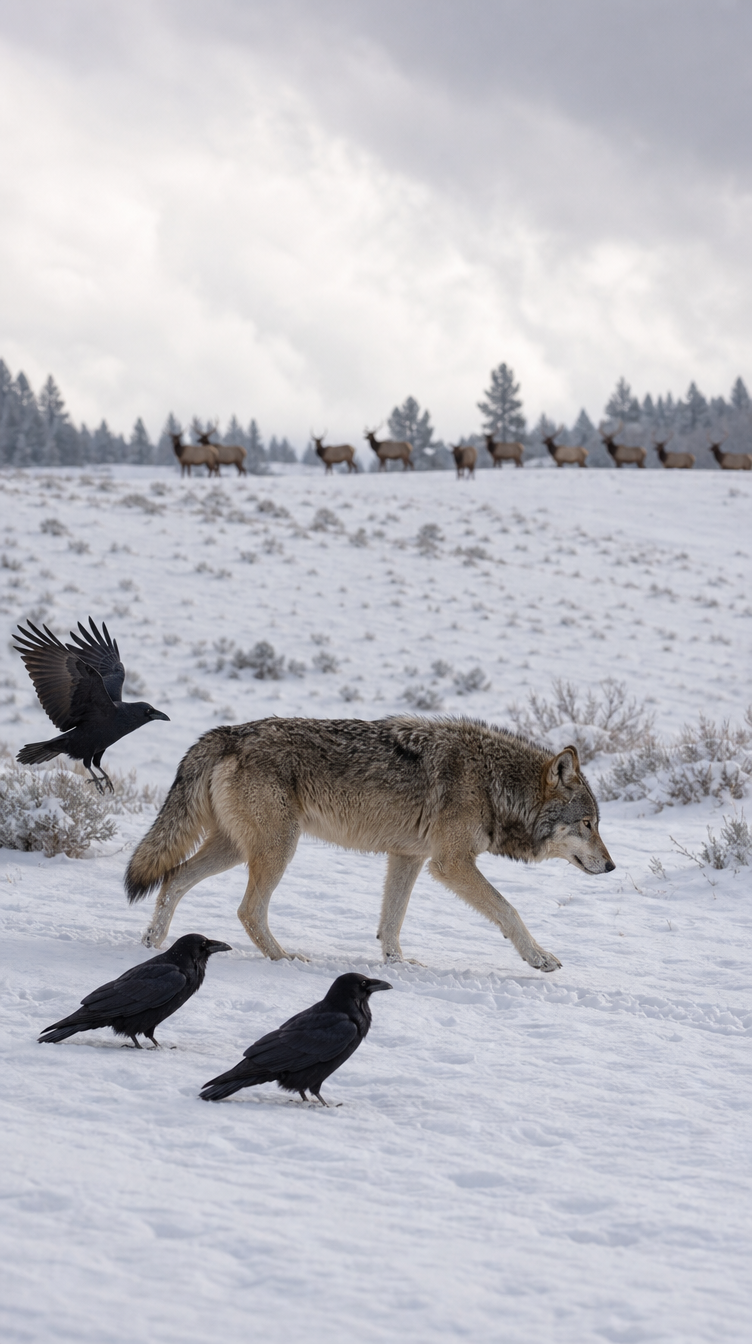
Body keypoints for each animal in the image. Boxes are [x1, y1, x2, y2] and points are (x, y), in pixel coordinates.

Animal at [125, 716, 615, 972]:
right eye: (587, 823)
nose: (611, 867)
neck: (496, 784)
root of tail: (224, 732)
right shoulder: (451, 863)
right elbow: (508, 910)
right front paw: (539, 957)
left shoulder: (409, 857)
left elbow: (391, 922)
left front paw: (398, 965)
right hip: (278, 848)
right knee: (248, 910)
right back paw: (284, 958)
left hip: (235, 848)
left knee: (172, 880)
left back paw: (152, 944)